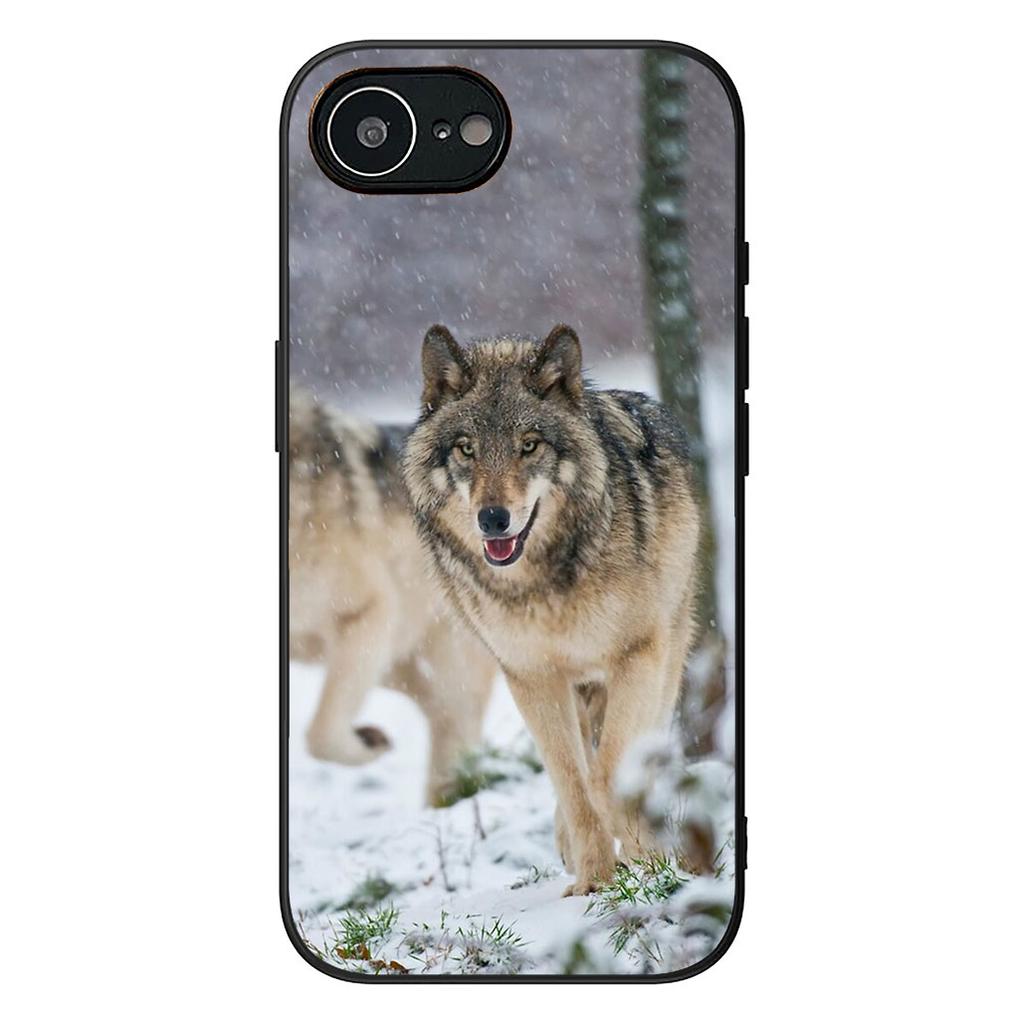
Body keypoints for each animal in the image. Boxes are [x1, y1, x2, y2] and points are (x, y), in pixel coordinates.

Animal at [402, 325, 701, 894]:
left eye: (529, 446)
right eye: (467, 449)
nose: (493, 519)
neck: (543, 586)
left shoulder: (637, 656)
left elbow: (606, 775)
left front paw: (645, 859)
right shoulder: (530, 676)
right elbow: (573, 782)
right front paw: (594, 882)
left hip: (667, 655)